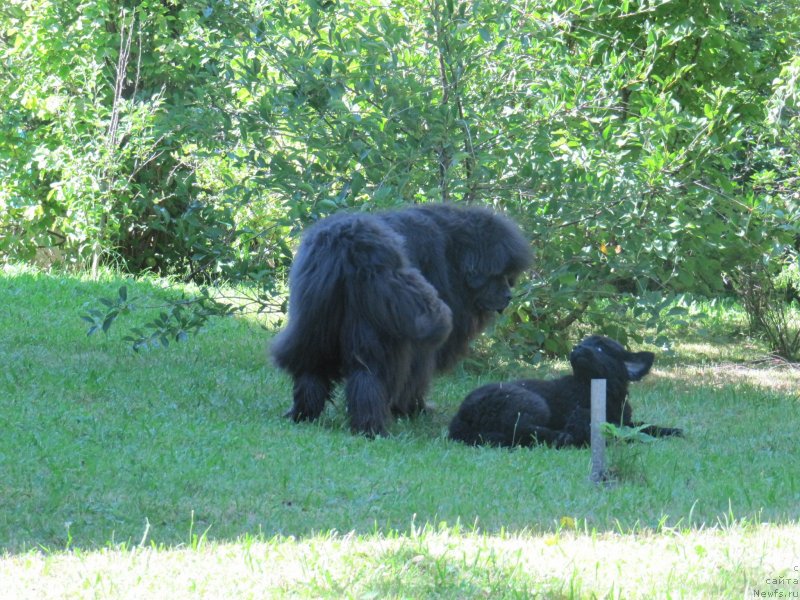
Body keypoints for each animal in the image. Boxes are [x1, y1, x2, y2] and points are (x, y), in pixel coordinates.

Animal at [274, 203, 532, 436]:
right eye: (497, 275)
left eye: (509, 277)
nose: (508, 296)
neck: (454, 254)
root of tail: (350, 245)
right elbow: (416, 377)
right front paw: (414, 409)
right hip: (373, 329)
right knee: (369, 378)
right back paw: (372, 427)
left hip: (315, 322)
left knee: (311, 371)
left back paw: (304, 414)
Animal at [446, 336, 684, 448]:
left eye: (600, 347)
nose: (577, 347)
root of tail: (461, 417)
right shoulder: (582, 417)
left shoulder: (624, 420)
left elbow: (645, 426)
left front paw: (670, 430)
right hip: (531, 402)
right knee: (521, 429)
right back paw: (560, 437)